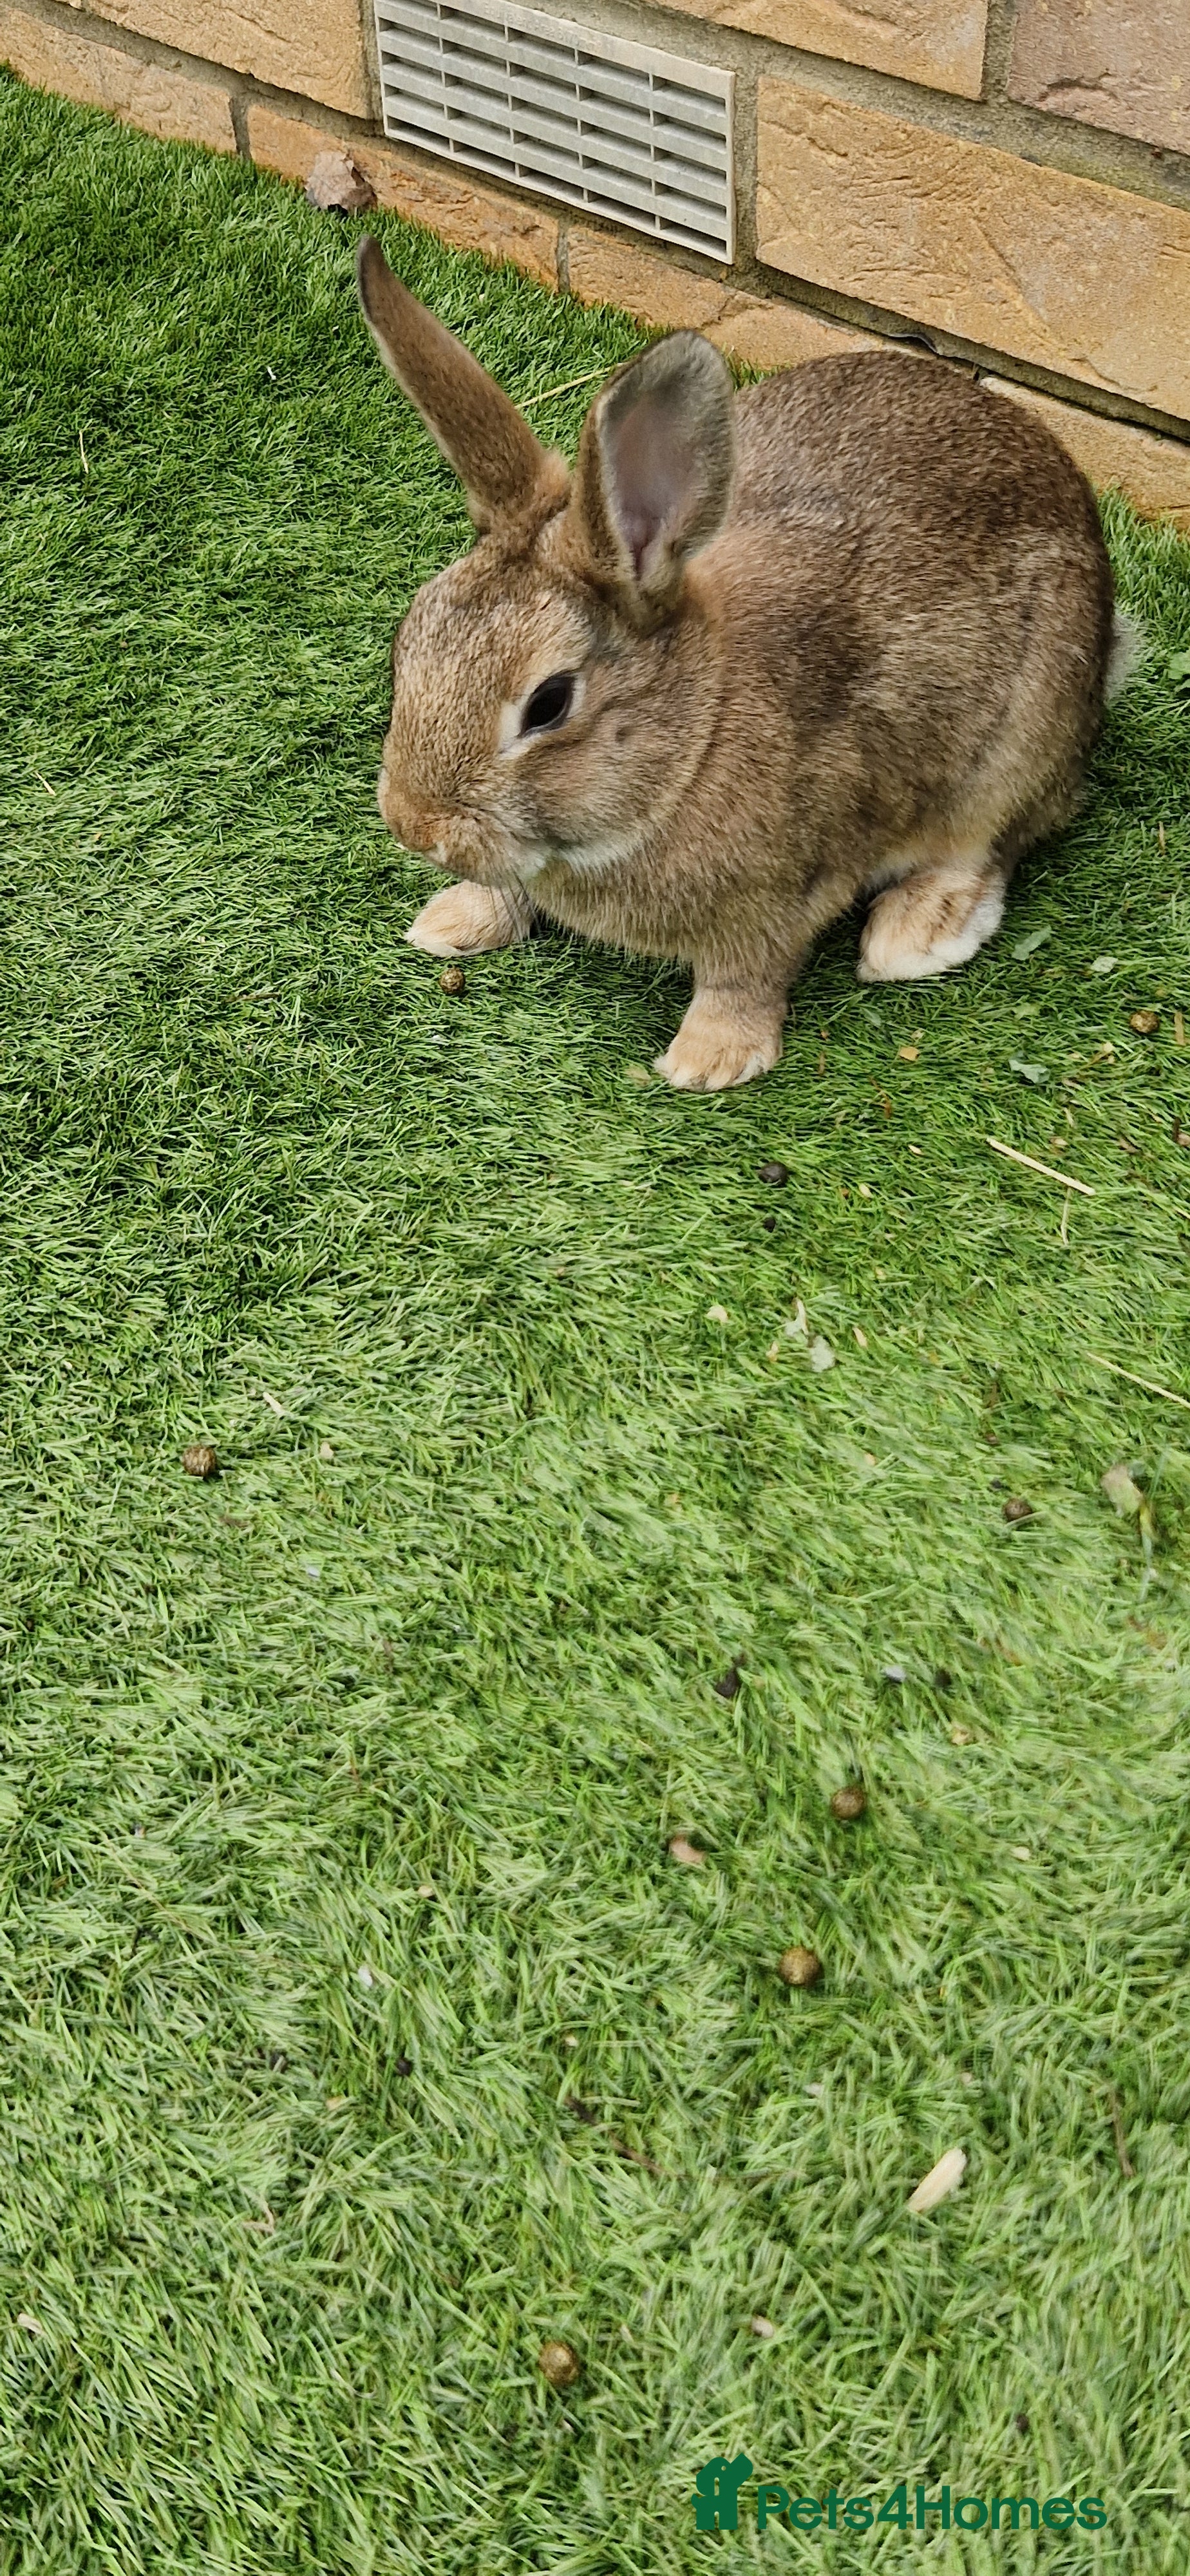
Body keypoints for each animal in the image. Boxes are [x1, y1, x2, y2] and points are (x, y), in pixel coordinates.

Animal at [356, 233, 1121, 1090]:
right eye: (410, 638)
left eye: (549, 703)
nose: (413, 827)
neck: (694, 740)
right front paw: (453, 920)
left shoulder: (781, 900)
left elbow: (745, 974)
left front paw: (709, 1058)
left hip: (1015, 747)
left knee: (989, 846)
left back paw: (914, 936)